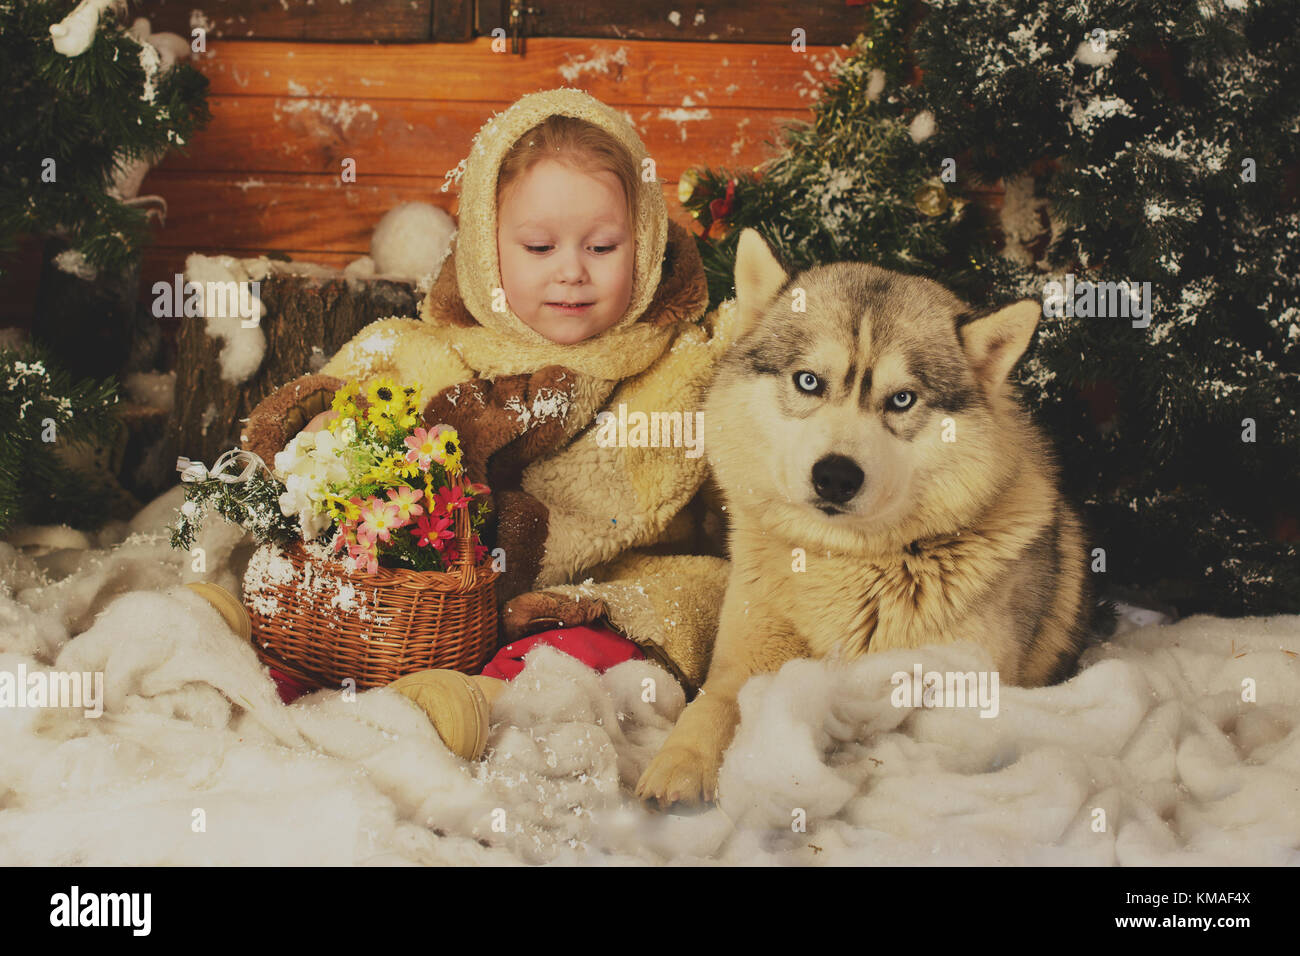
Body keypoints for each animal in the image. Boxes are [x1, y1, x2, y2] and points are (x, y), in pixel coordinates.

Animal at [639, 230, 1097, 806]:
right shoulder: (744, 658)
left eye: (901, 399)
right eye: (808, 381)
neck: (846, 566)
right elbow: (711, 706)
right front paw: (680, 763)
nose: (835, 477)